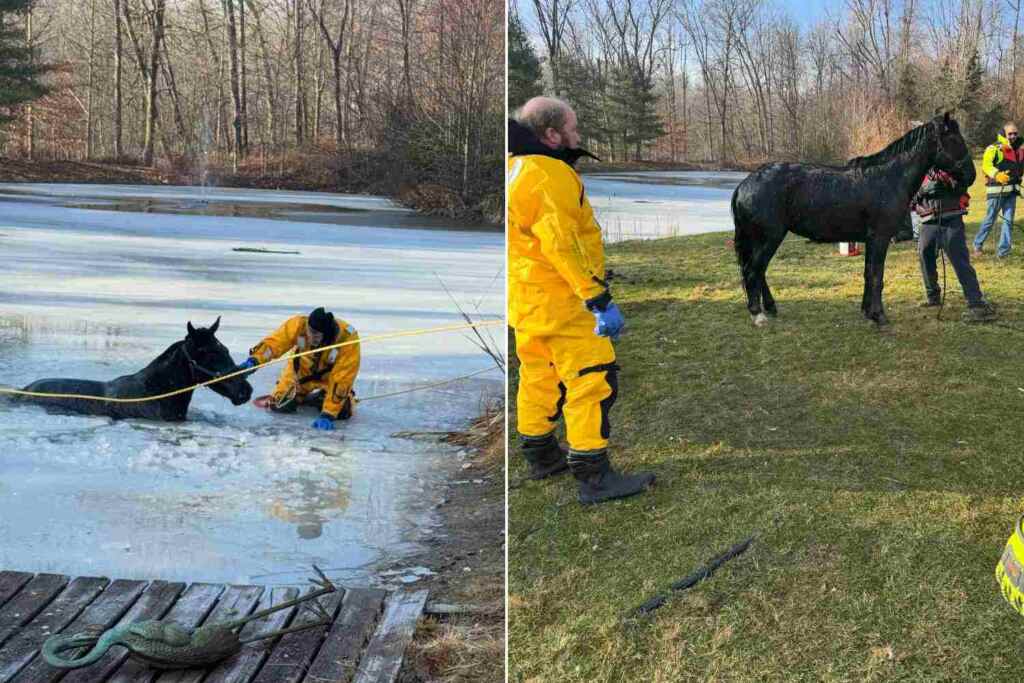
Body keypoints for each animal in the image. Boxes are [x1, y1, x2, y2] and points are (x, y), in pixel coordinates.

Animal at [731, 111, 975, 326]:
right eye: (954, 139)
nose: (971, 175)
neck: (888, 178)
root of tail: (744, 185)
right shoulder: (879, 238)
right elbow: (876, 276)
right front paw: (879, 316)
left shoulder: (870, 240)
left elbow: (868, 274)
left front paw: (868, 311)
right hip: (769, 238)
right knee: (752, 271)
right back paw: (758, 314)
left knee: (758, 271)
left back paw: (769, 307)